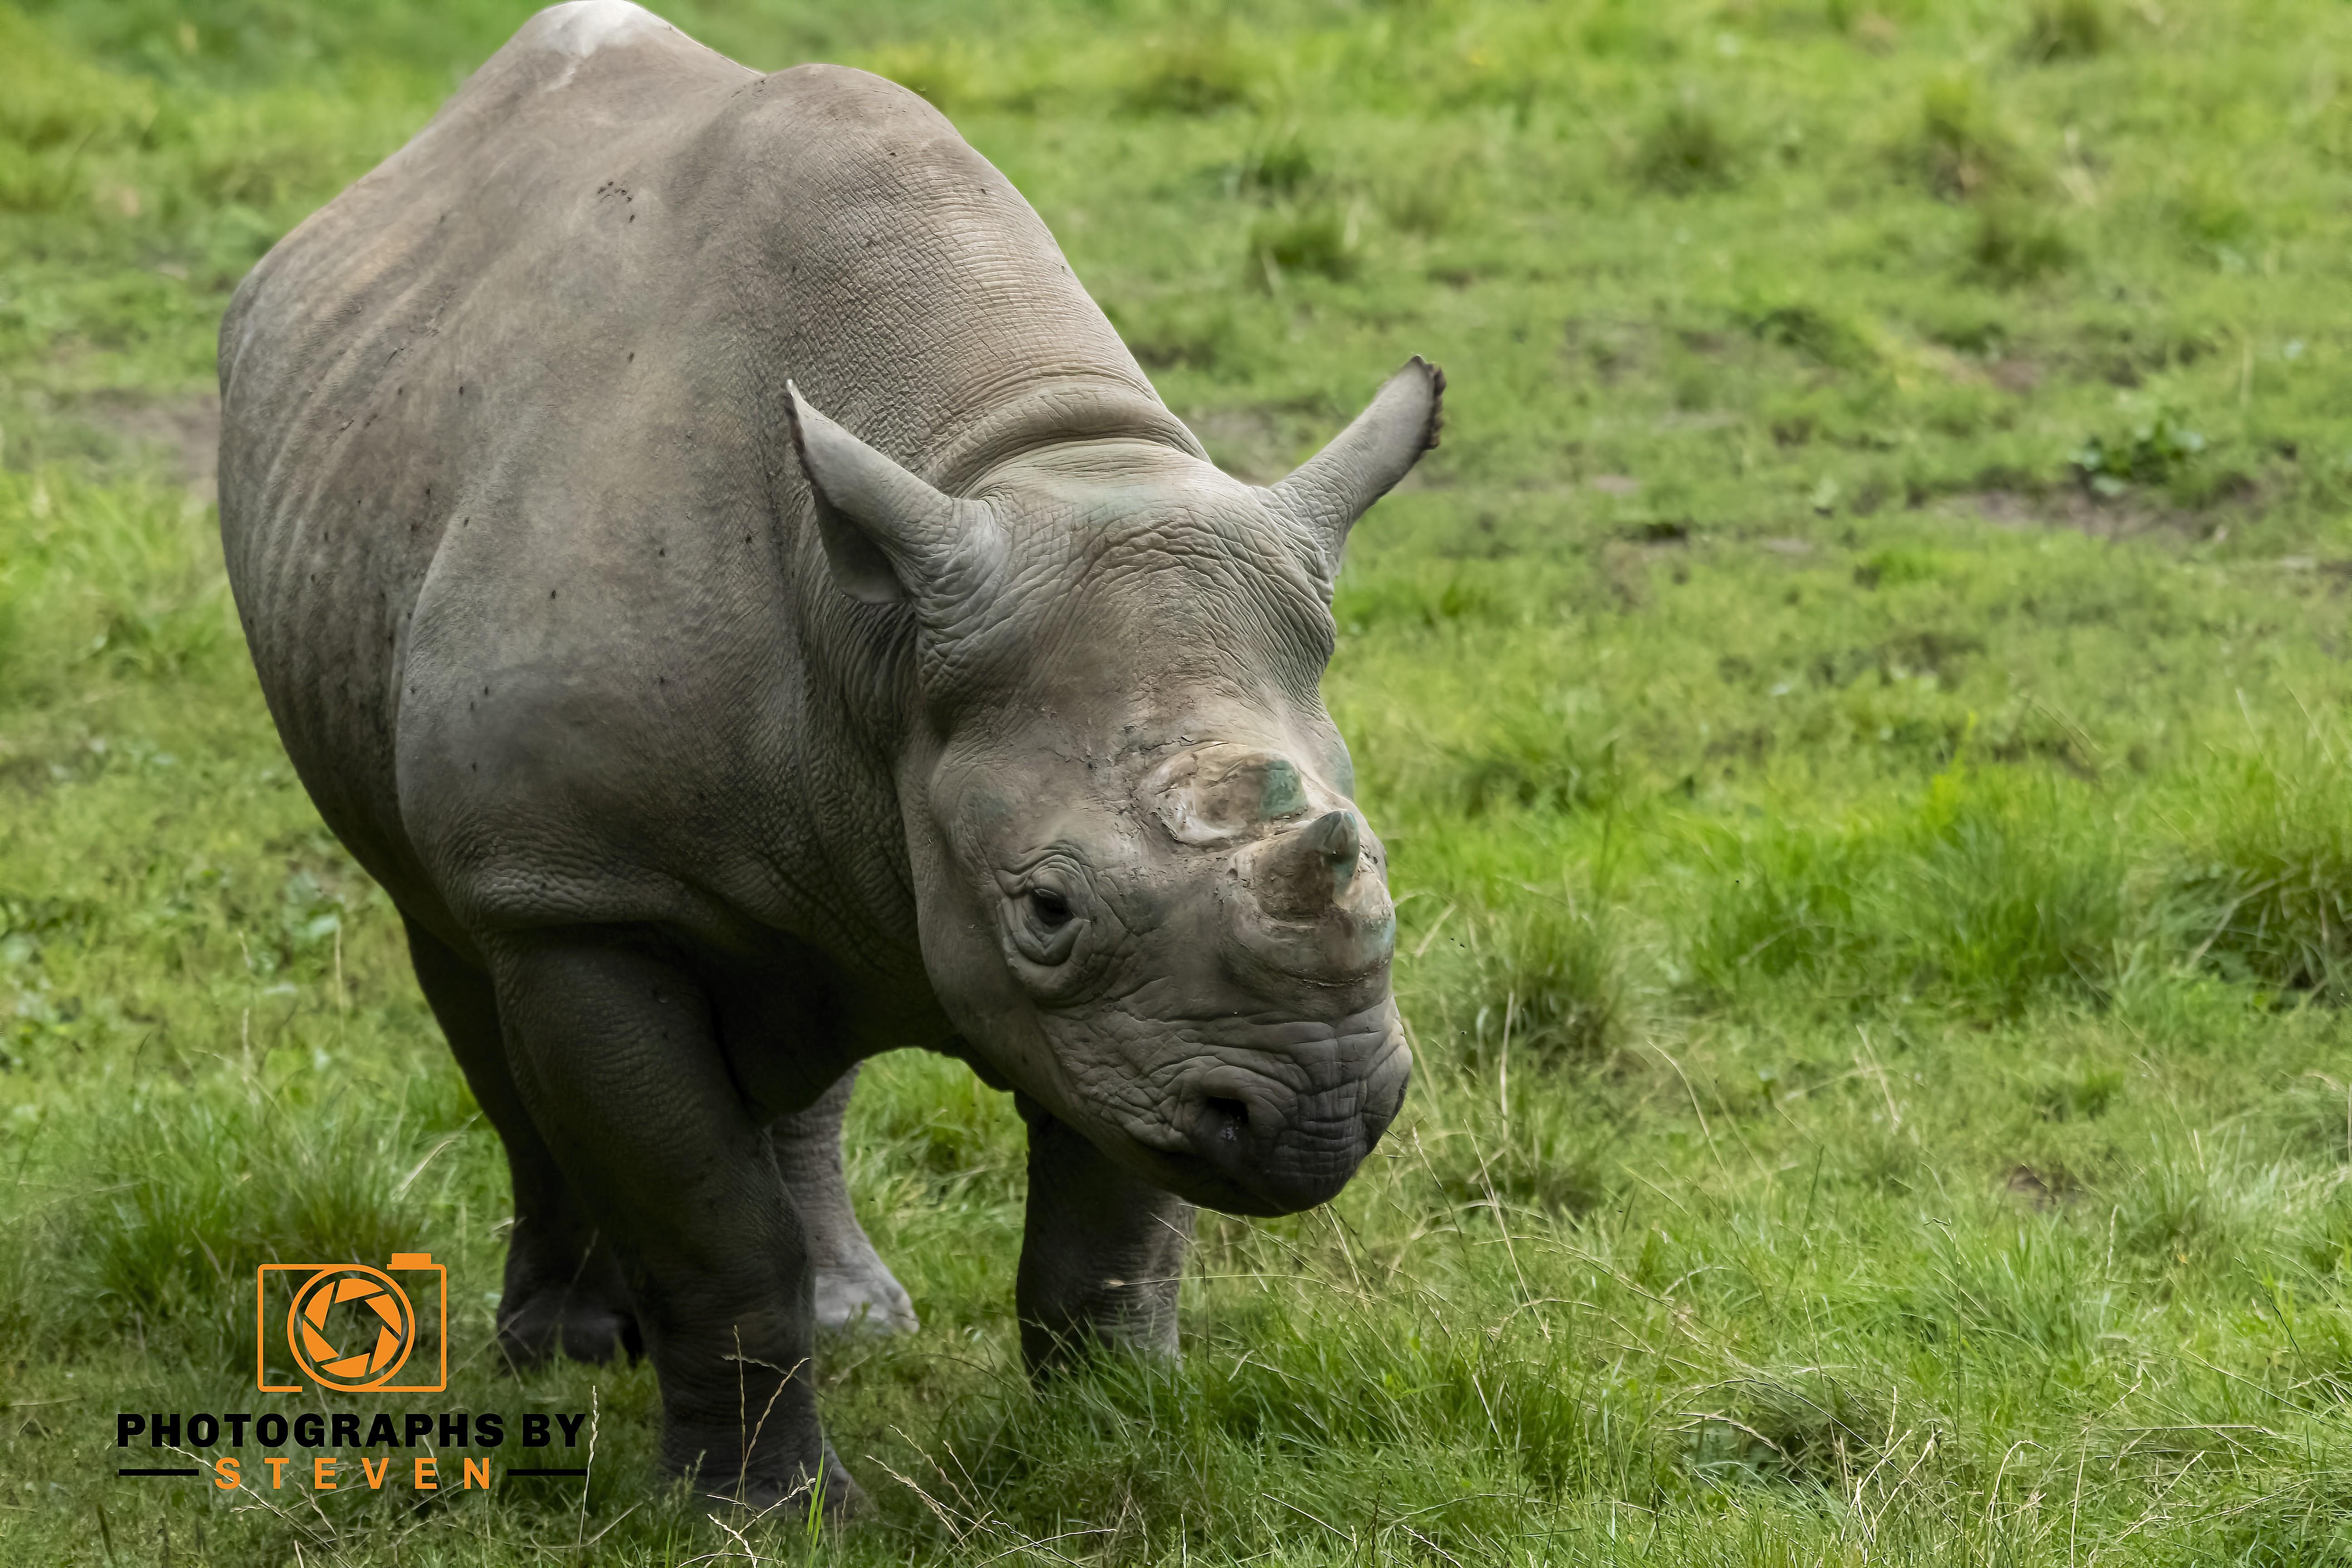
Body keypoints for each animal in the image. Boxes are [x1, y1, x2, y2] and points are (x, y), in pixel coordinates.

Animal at [218, 0, 1436, 1509]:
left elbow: (1113, 1221)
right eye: (1047, 909)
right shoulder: (574, 891)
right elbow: (710, 1221)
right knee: (470, 980)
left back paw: (858, 1320)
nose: (1316, 1113)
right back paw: (563, 1355)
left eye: (1371, 851)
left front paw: (1117, 1441)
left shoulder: (1146, 1018)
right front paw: (760, 1516)